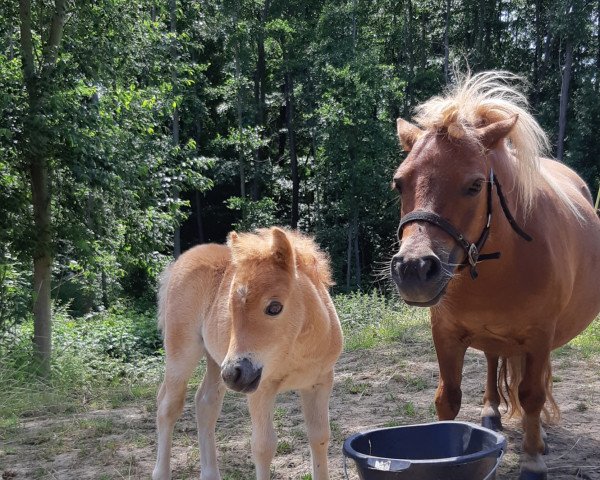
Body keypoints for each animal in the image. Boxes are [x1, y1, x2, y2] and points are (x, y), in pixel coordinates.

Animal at [152, 228, 342, 480]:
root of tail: (180, 261)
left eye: (274, 307)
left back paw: (210, 474)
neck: (296, 351)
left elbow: (319, 437)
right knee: (168, 407)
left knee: (206, 404)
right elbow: (263, 447)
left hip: (216, 361)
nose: (235, 374)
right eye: (230, 308)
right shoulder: (261, 389)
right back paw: (161, 472)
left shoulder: (320, 383)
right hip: (183, 352)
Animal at [390, 72, 600, 480]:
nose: (413, 269)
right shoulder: (445, 333)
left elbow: (531, 395)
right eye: (400, 183)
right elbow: (448, 396)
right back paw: (490, 412)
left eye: (474, 185)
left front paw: (533, 460)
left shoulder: (539, 336)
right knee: (491, 360)